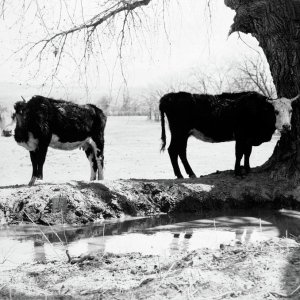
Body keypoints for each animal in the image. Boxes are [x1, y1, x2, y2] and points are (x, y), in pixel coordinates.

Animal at [159, 91, 298, 178]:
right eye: (276, 111)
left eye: (291, 110)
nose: (286, 126)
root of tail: (169, 96)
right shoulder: (241, 136)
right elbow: (239, 153)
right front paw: (237, 172)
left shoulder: (248, 138)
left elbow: (247, 153)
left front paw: (247, 169)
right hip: (179, 132)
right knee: (173, 150)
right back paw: (180, 175)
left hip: (183, 134)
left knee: (180, 151)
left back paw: (189, 173)